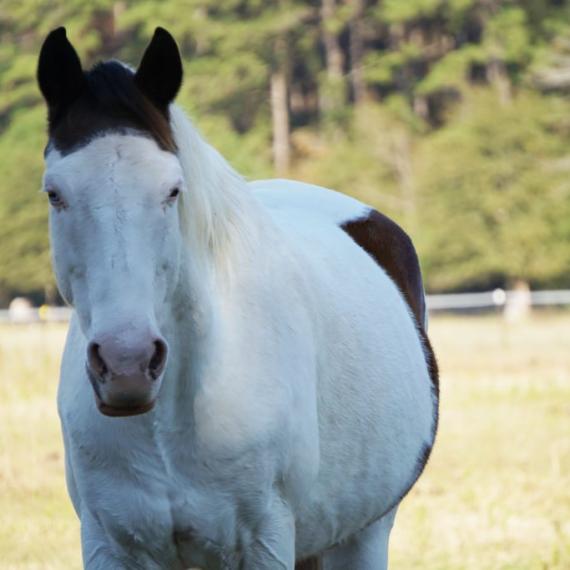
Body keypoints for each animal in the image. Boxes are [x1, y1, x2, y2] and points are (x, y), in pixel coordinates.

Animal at [37, 26, 438, 568]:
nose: (127, 364)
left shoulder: (265, 541)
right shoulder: (108, 544)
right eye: (55, 193)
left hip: (365, 533)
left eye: (173, 190)